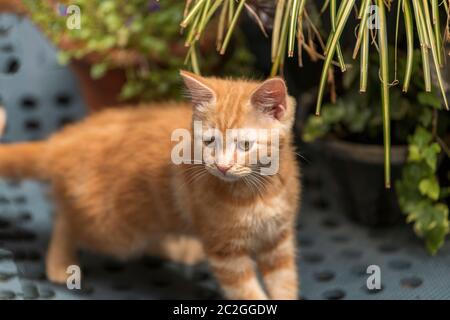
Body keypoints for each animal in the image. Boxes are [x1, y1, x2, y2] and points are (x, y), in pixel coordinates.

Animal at [1, 71, 302, 298]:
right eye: (209, 142)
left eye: (246, 145)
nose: (222, 166)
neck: (258, 192)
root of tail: (69, 138)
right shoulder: (226, 253)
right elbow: (246, 292)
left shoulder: (278, 241)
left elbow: (284, 284)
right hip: (113, 232)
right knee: (67, 219)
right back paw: (59, 262)